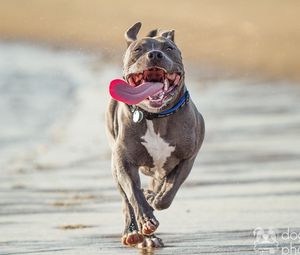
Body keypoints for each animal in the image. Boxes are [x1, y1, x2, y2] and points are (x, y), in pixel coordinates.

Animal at [104, 22, 205, 249]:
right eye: (138, 49)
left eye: (168, 48)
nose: (155, 54)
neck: (156, 116)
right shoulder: (124, 162)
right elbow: (134, 193)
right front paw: (146, 219)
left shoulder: (187, 158)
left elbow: (168, 192)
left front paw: (154, 199)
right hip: (115, 165)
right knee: (126, 201)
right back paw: (134, 233)